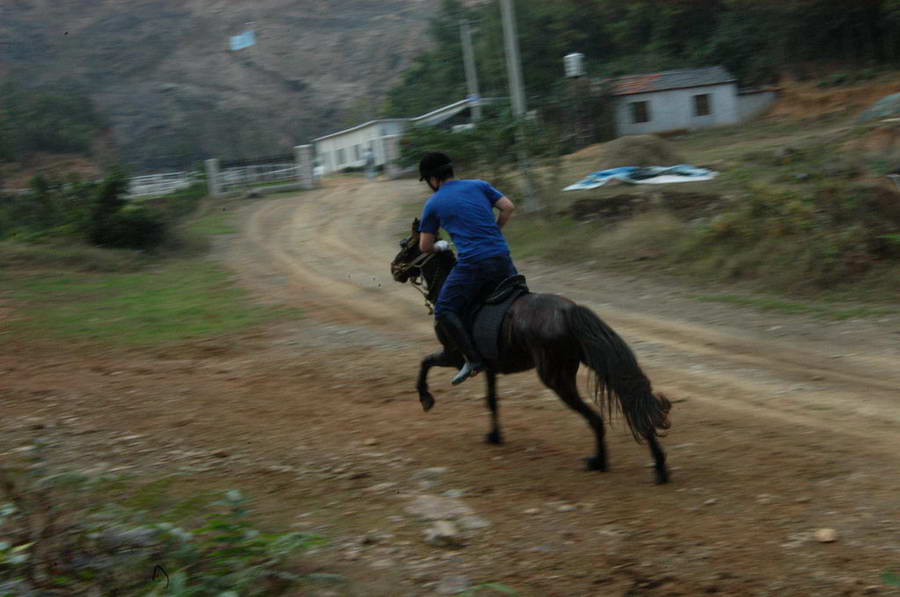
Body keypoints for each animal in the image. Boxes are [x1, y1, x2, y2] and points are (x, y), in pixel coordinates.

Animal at [390, 219, 672, 484]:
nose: (393, 269)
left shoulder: (454, 356)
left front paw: (426, 399)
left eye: (407, 245)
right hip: (589, 362)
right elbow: (491, 400)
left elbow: (424, 363)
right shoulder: (488, 366)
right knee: (630, 397)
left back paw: (599, 461)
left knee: (596, 418)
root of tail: (570, 312)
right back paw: (659, 466)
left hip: (556, 378)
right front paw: (494, 436)